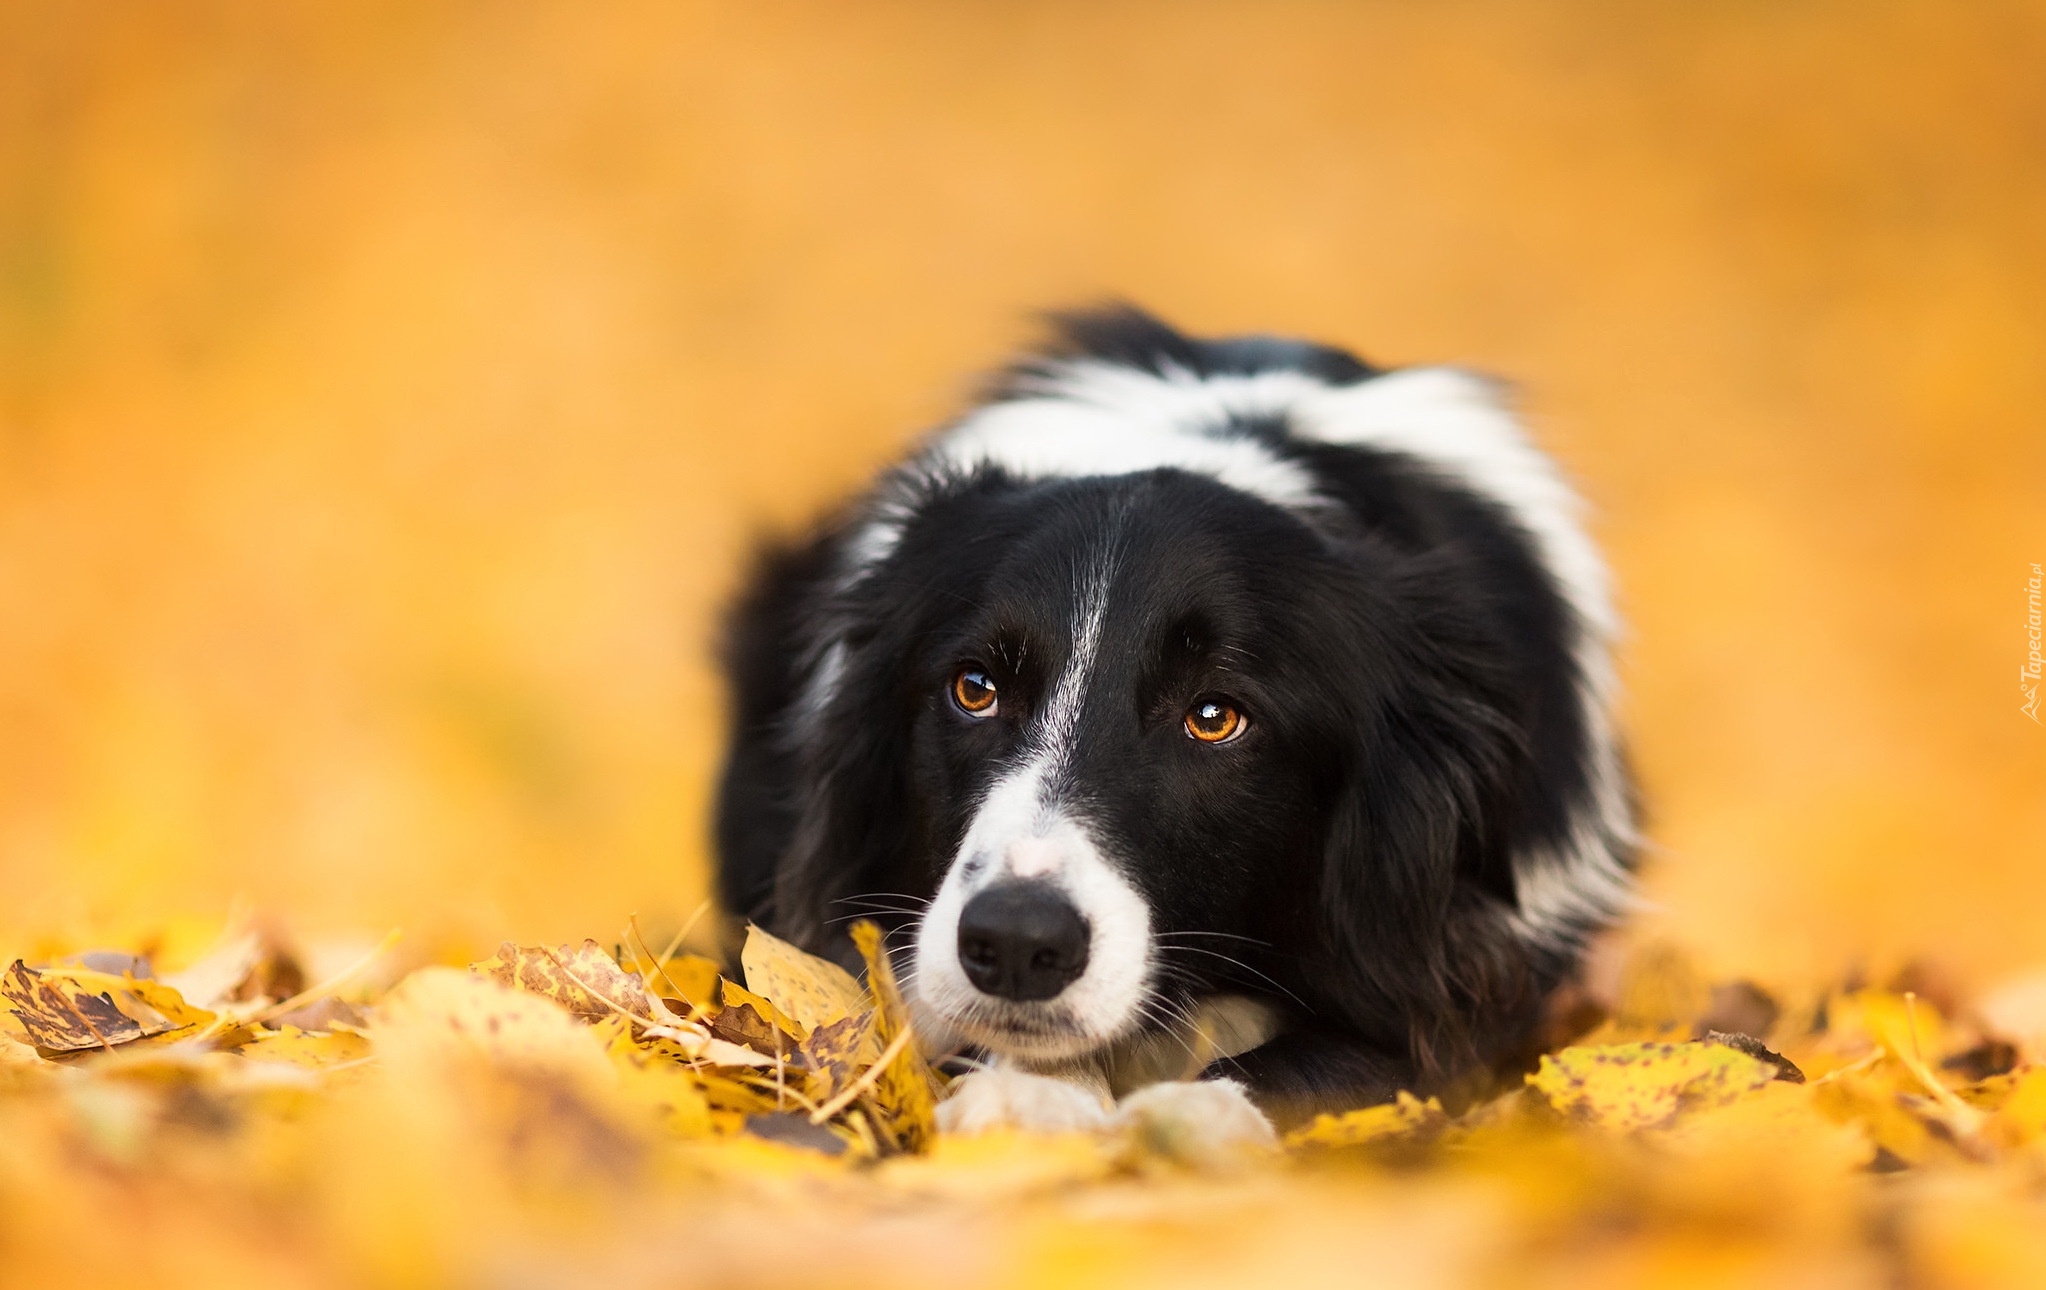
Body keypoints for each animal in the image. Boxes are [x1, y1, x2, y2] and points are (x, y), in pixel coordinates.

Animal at [712, 305, 1636, 1138]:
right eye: (973, 688)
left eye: (1215, 716)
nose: (1015, 942)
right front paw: (1028, 1097)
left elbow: (1363, 1058)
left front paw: (1190, 1116)